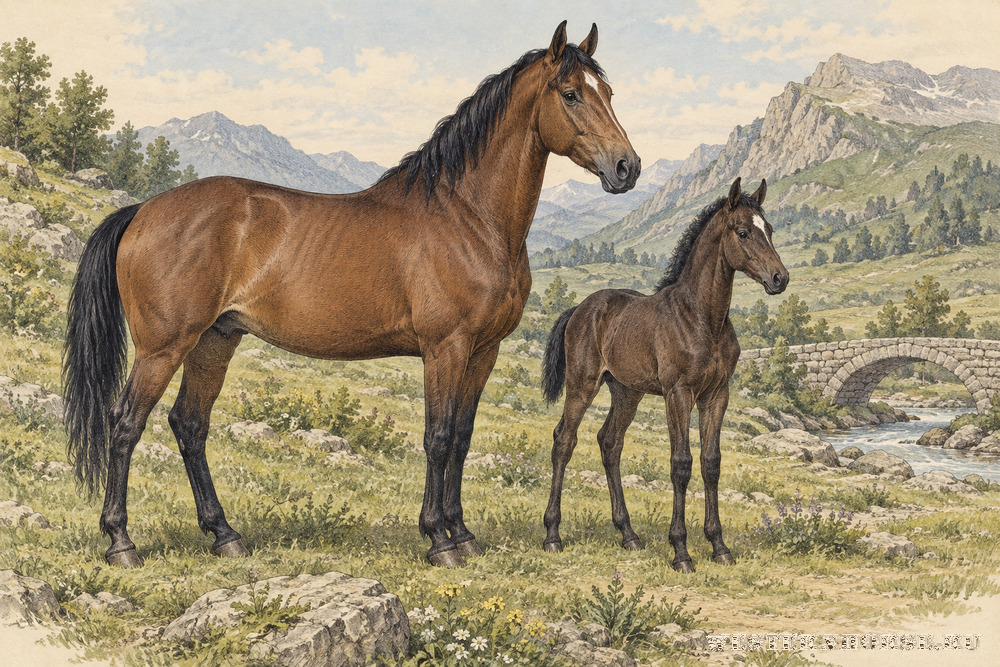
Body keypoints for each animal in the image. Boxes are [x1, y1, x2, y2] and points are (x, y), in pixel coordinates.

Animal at [62, 21, 640, 569]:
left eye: (609, 92)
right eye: (570, 93)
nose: (626, 167)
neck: (467, 217)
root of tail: (143, 210)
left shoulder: (483, 351)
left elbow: (462, 437)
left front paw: (463, 534)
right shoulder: (445, 348)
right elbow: (437, 438)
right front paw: (439, 540)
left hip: (214, 340)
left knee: (189, 426)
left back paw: (224, 535)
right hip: (163, 348)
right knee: (125, 425)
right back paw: (121, 541)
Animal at [539, 178, 787, 572]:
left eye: (771, 230)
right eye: (743, 232)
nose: (780, 278)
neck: (702, 317)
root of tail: (580, 308)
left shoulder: (717, 395)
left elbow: (711, 462)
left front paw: (719, 546)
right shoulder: (678, 394)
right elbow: (681, 464)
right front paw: (681, 551)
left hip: (627, 392)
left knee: (610, 443)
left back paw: (628, 534)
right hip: (582, 385)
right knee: (564, 440)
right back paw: (552, 535)